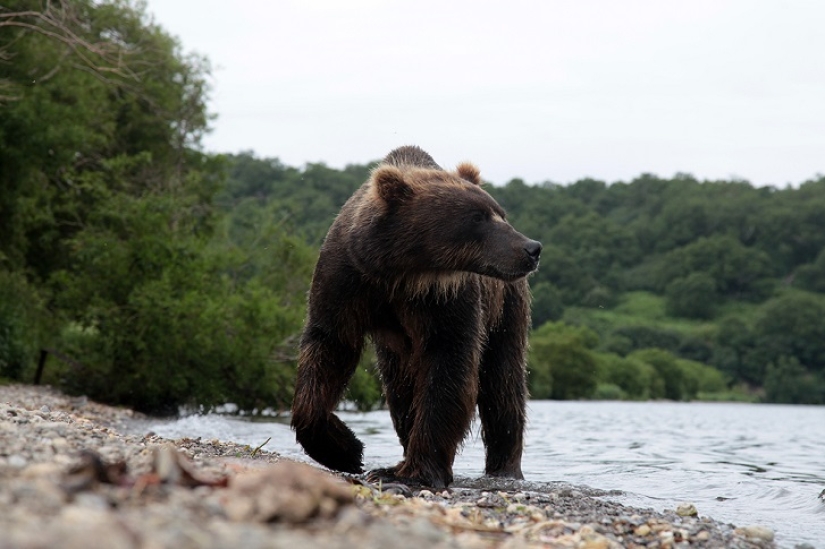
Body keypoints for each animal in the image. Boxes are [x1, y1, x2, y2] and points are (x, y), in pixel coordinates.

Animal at [291, 145, 541, 489]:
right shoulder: (347, 280)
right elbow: (329, 347)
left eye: (499, 213)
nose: (532, 248)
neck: (403, 271)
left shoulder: (445, 300)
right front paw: (346, 450)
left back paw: (505, 468)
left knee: (502, 384)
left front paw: (414, 471)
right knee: (400, 391)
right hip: (396, 350)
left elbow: (449, 368)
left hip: (506, 309)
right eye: (477, 217)